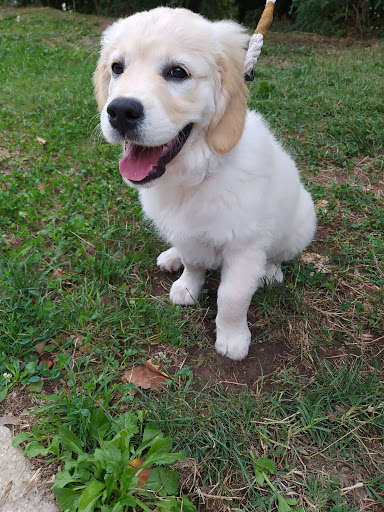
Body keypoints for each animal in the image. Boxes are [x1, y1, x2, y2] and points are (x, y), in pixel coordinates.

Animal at [94, 7, 316, 360]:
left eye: (177, 72)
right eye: (117, 68)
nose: (120, 111)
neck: (198, 172)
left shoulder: (244, 246)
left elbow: (232, 296)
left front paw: (233, 338)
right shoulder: (187, 232)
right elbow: (193, 262)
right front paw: (187, 286)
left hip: (301, 222)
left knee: (280, 253)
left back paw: (270, 272)